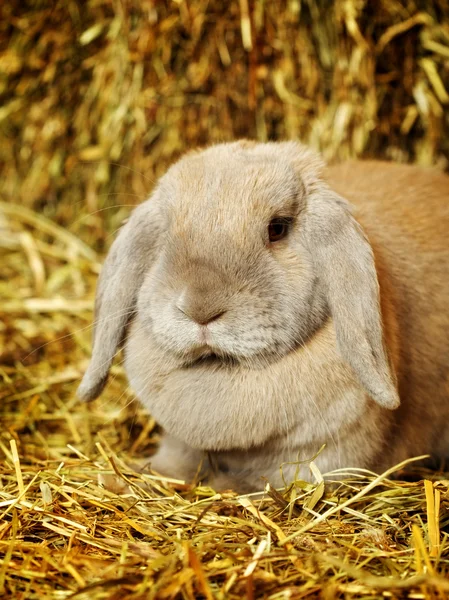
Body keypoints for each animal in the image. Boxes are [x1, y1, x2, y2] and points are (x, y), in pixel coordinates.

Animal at [77, 141, 448, 492]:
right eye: (166, 231)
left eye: (277, 229)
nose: (200, 309)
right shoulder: (179, 445)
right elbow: (173, 464)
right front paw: (127, 479)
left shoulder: (329, 456)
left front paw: (227, 487)